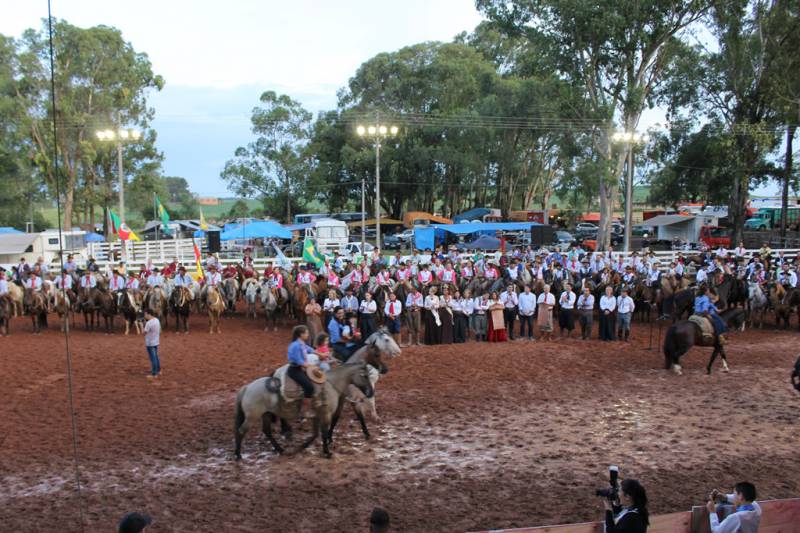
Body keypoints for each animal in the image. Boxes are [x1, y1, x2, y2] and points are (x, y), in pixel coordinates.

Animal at [234, 360, 376, 460]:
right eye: (364, 376)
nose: (370, 392)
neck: (331, 384)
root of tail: (247, 387)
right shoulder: (326, 414)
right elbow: (324, 432)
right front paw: (327, 452)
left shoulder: (317, 416)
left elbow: (315, 434)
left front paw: (303, 447)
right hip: (252, 417)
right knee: (241, 431)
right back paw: (238, 455)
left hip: (266, 414)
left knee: (267, 431)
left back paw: (280, 449)